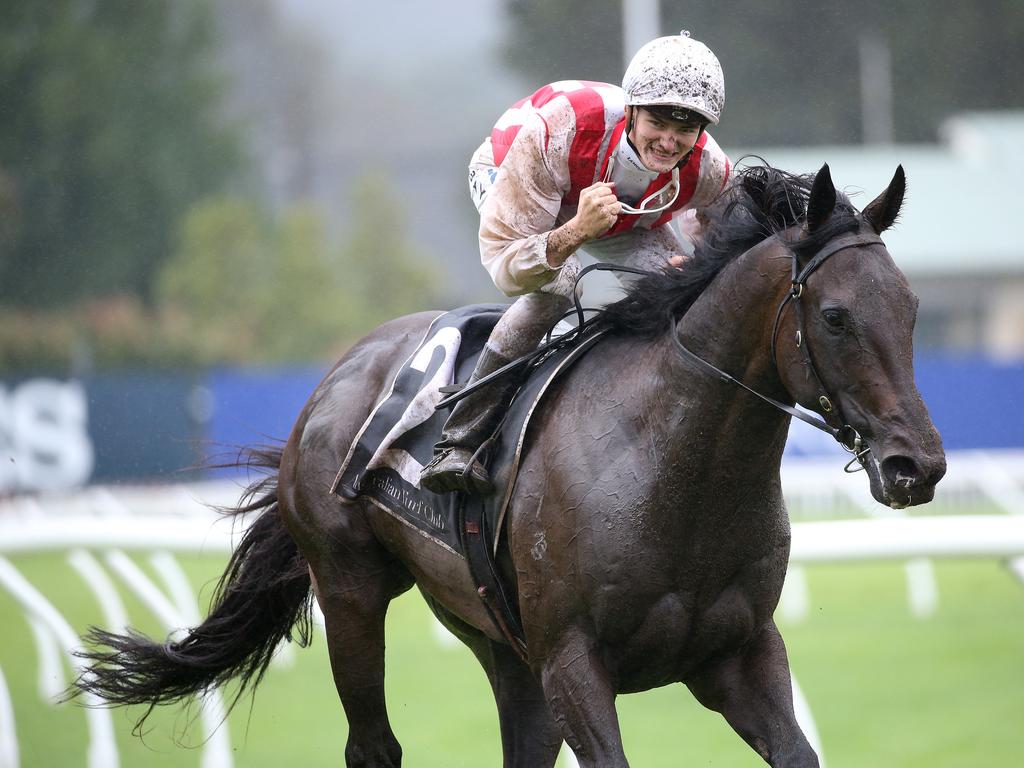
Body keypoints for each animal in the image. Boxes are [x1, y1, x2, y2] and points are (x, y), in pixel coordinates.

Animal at [77, 160, 942, 765]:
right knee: (371, 746)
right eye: (835, 316)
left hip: (500, 647)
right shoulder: (573, 664)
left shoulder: (736, 652)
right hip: (352, 589)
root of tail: (334, 379)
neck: (673, 465)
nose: (918, 467)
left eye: (910, 310)